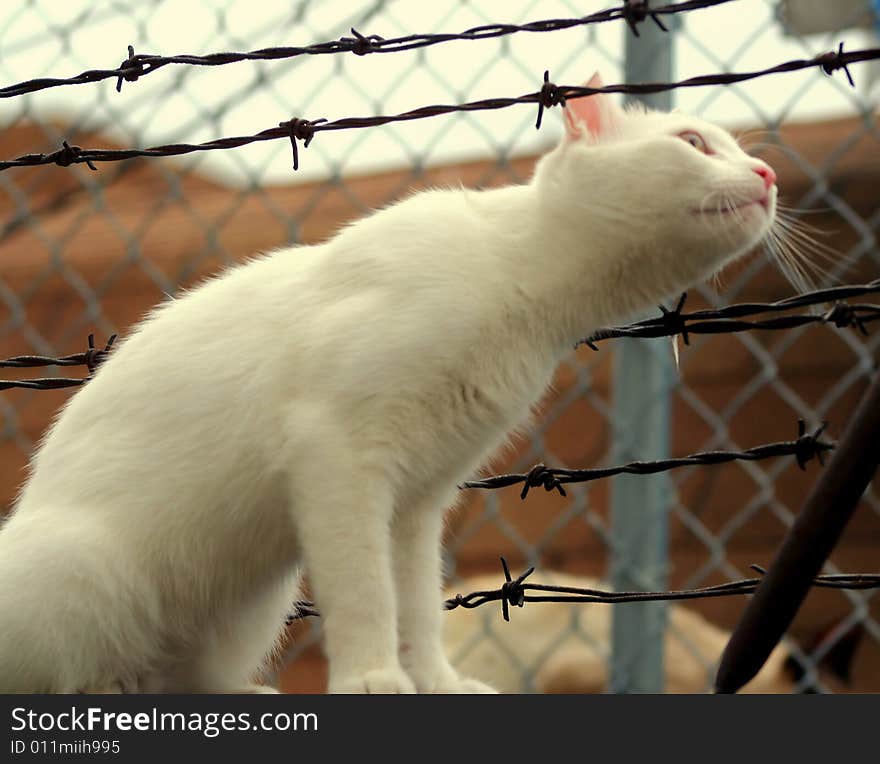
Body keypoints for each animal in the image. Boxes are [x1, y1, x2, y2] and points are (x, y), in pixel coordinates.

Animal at [0, 76, 776, 692]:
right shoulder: (338, 454)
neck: (521, 291)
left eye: (739, 152)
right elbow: (365, 591)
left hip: (249, 605)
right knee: (80, 678)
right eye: (694, 143)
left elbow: (418, 603)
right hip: (86, 572)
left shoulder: (418, 496)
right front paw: (373, 677)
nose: (768, 173)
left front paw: (435, 681)